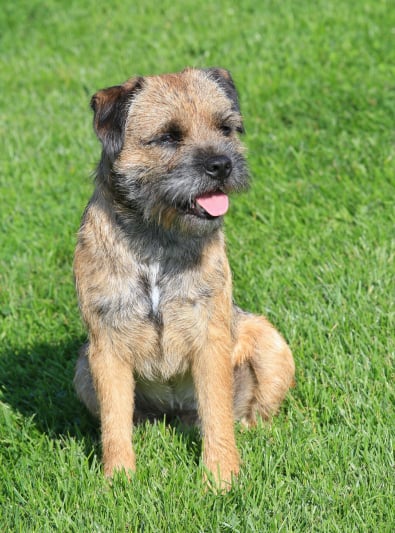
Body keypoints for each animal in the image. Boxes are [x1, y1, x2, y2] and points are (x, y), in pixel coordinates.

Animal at [73, 66, 294, 486]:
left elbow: (217, 413)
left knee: (247, 413)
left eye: (226, 128)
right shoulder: (106, 347)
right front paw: (118, 480)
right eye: (168, 137)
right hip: (82, 370)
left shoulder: (210, 337)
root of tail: (176, 415)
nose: (221, 164)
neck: (157, 241)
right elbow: (114, 421)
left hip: (271, 345)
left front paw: (220, 479)